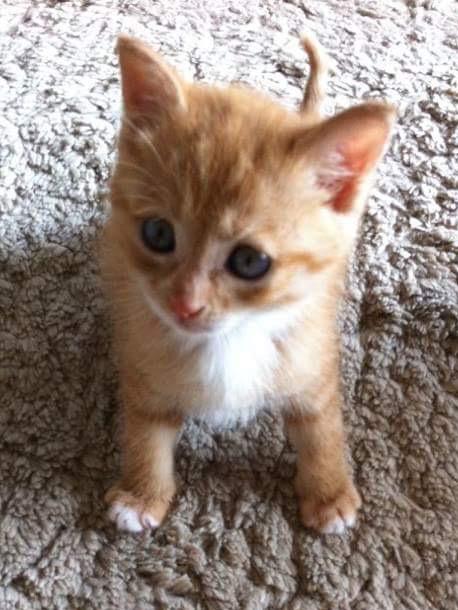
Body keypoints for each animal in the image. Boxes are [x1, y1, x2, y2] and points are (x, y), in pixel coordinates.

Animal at [101, 31, 394, 534]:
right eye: (157, 234)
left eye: (250, 261)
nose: (184, 304)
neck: (232, 337)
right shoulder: (142, 352)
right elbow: (144, 426)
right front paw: (141, 493)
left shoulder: (310, 352)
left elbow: (321, 425)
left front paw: (329, 491)